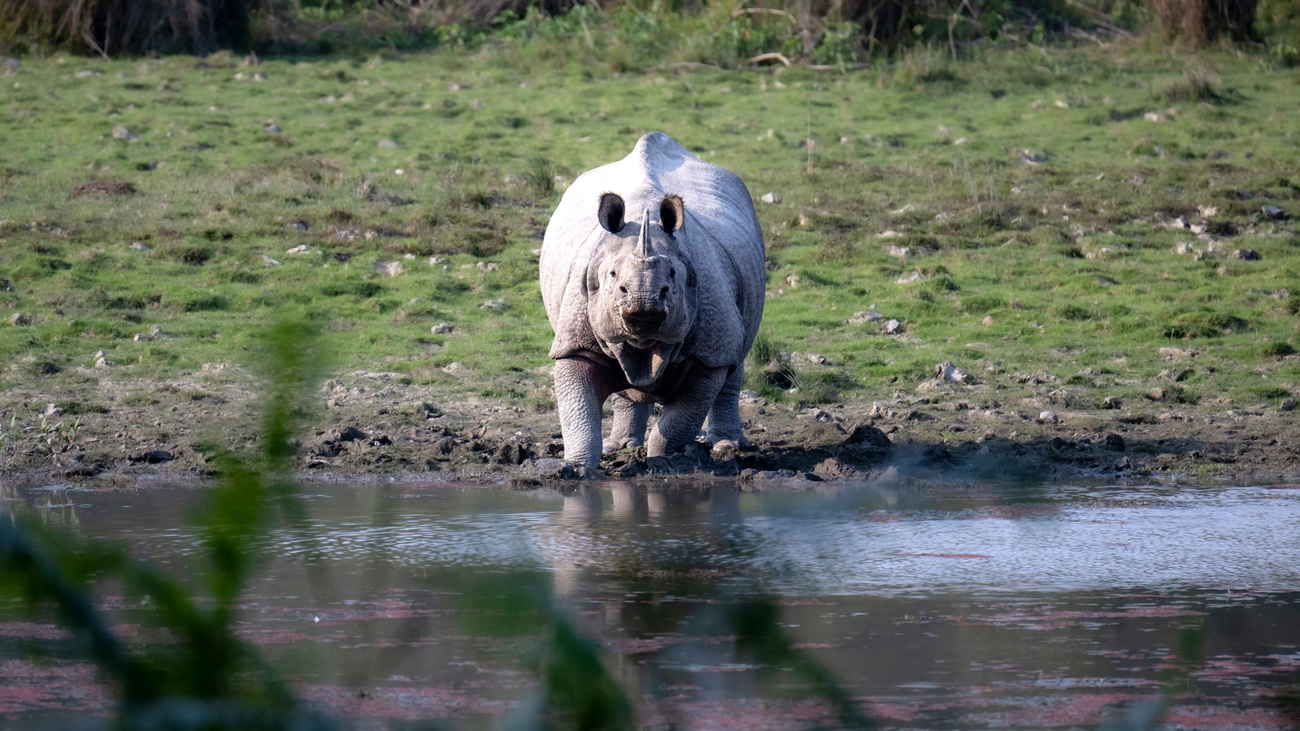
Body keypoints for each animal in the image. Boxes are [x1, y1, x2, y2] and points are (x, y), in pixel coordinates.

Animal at [535, 130, 759, 468]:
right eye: (613, 276)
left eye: (672, 276)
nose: (643, 307)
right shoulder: (574, 340)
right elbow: (578, 413)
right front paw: (574, 468)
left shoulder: (709, 351)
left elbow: (681, 419)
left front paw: (660, 462)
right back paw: (618, 448)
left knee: (736, 355)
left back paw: (726, 447)